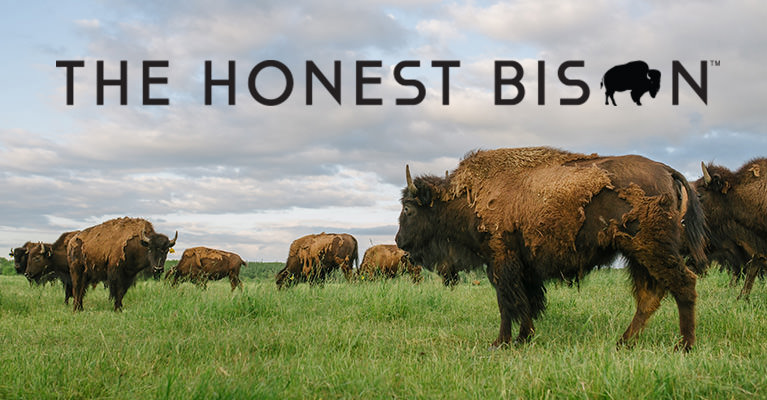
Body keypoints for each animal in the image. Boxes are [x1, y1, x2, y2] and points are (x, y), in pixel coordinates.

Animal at [396, 147, 707, 350]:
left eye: (408, 209)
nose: (399, 241)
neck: (469, 196)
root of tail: (666, 170)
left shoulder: (500, 260)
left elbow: (508, 303)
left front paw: (501, 343)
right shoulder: (523, 268)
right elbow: (526, 302)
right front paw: (524, 337)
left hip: (652, 249)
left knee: (683, 284)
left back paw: (684, 346)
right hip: (637, 255)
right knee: (649, 296)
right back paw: (622, 342)